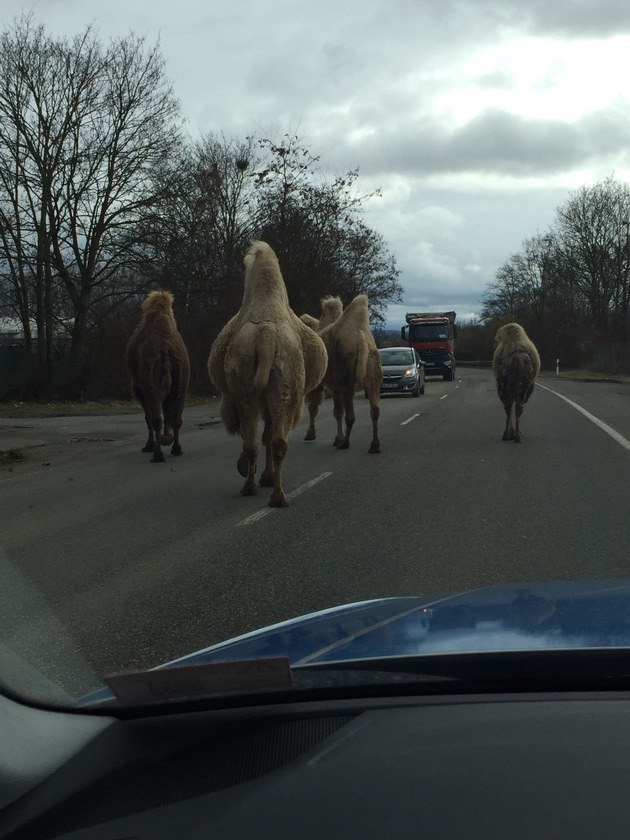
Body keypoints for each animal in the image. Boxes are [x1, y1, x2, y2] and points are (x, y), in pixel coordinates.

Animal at [125, 290, 190, 462]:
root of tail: (166, 353)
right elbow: (168, 412)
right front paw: (166, 439)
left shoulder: (139, 387)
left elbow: (148, 418)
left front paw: (150, 445)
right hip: (182, 383)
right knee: (176, 417)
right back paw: (176, 448)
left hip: (149, 385)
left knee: (155, 419)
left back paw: (157, 454)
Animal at [211, 240, 330, 508]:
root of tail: (266, 334)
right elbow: (268, 434)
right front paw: (265, 477)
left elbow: (263, 435)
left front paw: (262, 476)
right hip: (283, 388)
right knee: (275, 441)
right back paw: (276, 495)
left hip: (249, 390)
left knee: (255, 441)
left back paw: (255, 488)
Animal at [302, 296, 386, 452]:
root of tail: (362, 341)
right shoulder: (336, 386)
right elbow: (337, 411)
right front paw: (337, 438)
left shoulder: (324, 383)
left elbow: (316, 407)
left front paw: (311, 434)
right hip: (373, 373)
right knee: (375, 410)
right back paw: (374, 445)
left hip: (346, 379)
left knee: (350, 416)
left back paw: (345, 443)